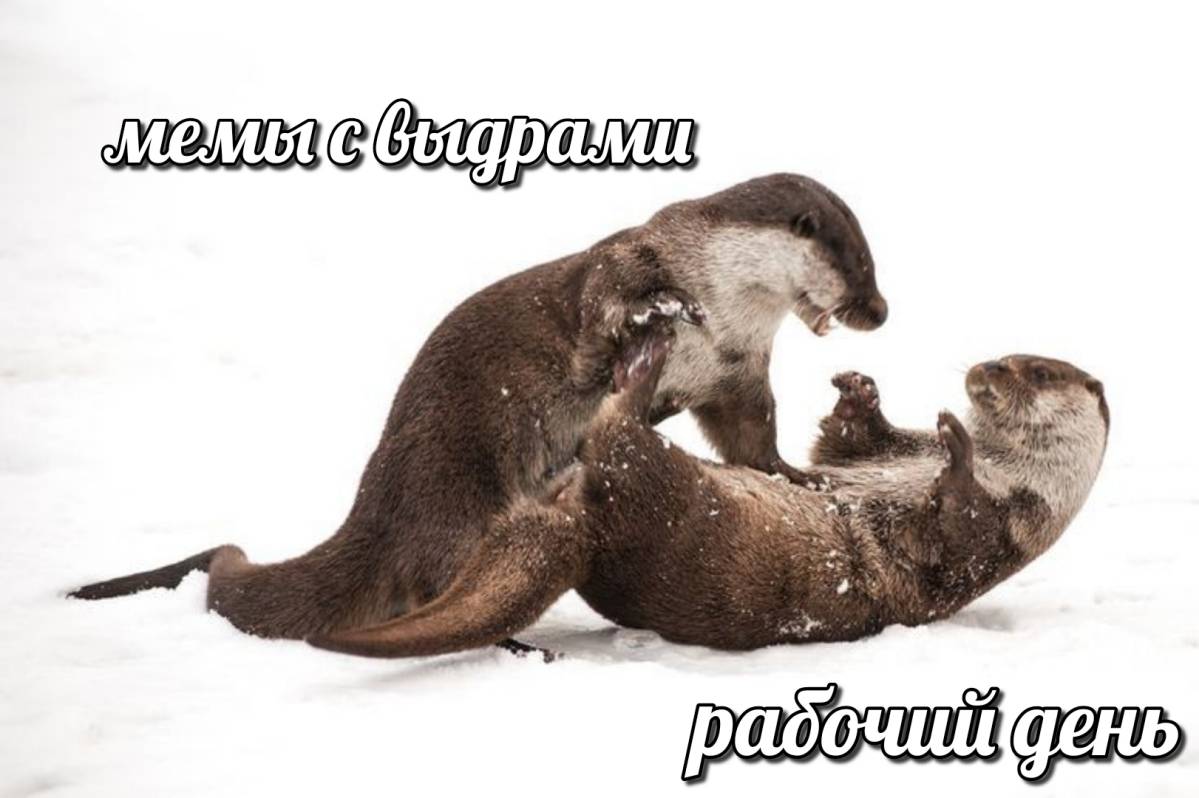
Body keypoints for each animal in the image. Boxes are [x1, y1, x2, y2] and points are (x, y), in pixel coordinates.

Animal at [70, 174, 886, 648]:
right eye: (858, 262)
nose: (878, 311)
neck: (724, 305)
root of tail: (379, 510)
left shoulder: (735, 373)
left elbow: (750, 440)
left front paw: (799, 476)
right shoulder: (623, 262)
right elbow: (605, 302)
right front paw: (658, 310)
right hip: (458, 488)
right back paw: (516, 642)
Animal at [304, 324, 1107, 658]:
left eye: (1037, 372)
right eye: (1003, 354)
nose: (984, 372)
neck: (1017, 481)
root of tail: (588, 534)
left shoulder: (1000, 531)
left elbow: (951, 526)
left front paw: (958, 443)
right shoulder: (875, 455)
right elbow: (838, 446)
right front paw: (861, 392)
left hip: (656, 485)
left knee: (617, 431)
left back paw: (646, 364)